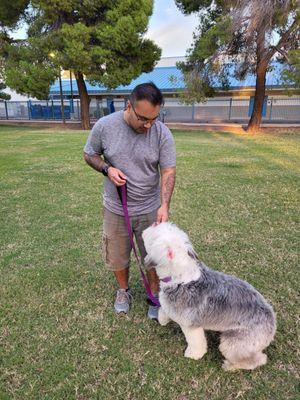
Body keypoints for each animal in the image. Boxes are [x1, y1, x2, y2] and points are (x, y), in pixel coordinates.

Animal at [143, 222, 276, 368]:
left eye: (154, 234)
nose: (154, 223)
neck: (180, 278)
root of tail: (272, 321)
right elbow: (164, 310)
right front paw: (162, 319)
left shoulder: (190, 325)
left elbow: (196, 342)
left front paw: (193, 355)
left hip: (234, 344)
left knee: (257, 360)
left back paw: (230, 366)